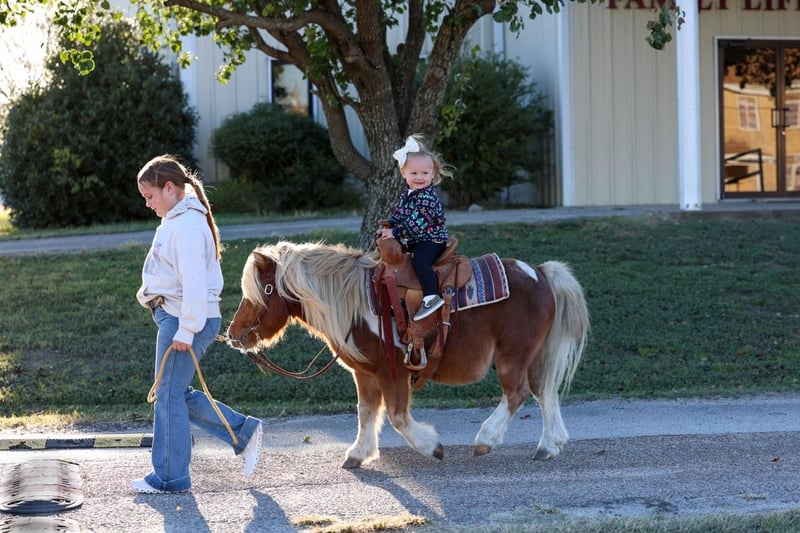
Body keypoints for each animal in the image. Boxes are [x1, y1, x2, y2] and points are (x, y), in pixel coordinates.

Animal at [223, 240, 589, 469]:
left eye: (263, 290)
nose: (233, 334)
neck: (355, 305)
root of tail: (540, 272)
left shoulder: (392, 371)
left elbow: (398, 417)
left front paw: (432, 446)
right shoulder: (365, 373)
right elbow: (366, 412)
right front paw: (359, 453)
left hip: (513, 354)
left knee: (517, 393)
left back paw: (487, 439)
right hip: (534, 354)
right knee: (545, 391)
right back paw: (548, 445)